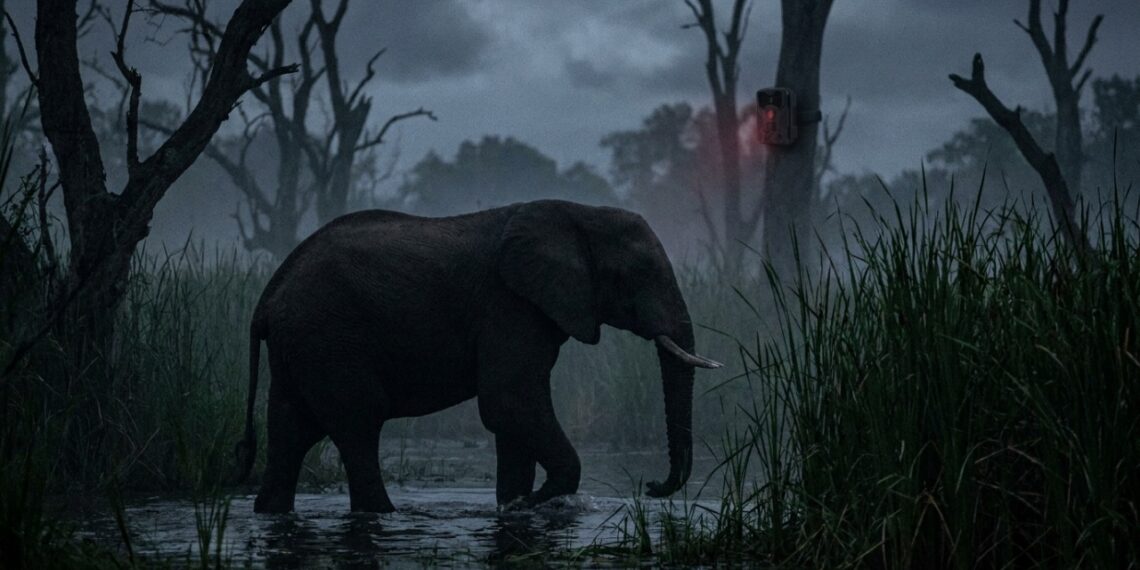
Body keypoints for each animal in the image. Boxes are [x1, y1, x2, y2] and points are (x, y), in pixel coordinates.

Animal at [234, 199, 721, 513]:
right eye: (639, 273)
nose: (652, 486)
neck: (580, 212)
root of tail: (267, 297)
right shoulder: (509, 303)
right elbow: (510, 400)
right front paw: (537, 500)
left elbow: (513, 415)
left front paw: (516, 504)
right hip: (329, 337)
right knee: (358, 426)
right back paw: (383, 514)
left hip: (302, 346)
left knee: (291, 431)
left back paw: (270, 512)